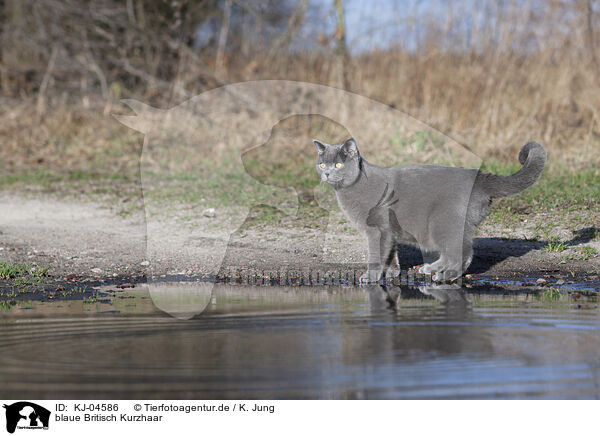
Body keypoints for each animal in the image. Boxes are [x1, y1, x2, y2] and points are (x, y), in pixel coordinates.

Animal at [314, 138, 548, 284]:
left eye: (338, 164)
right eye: (322, 165)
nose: (326, 174)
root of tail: (481, 178)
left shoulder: (376, 230)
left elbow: (376, 254)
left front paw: (370, 276)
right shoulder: (388, 231)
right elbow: (391, 253)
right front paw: (393, 273)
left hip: (441, 223)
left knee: (462, 253)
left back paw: (445, 276)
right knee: (456, 251)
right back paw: (431, 269)